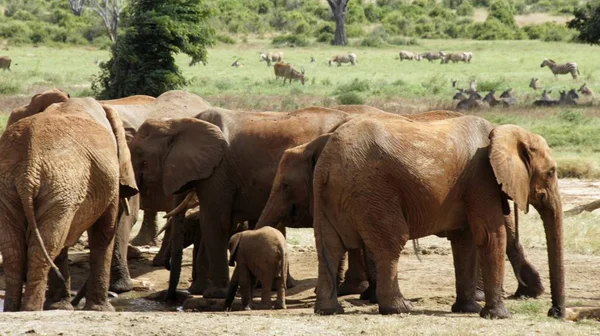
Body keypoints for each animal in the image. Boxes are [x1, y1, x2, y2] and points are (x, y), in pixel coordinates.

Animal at [0, 97, 137, 312]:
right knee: (45, 246)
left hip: (18, 186)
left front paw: (60, 308)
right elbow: (104, 232)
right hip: (60, 185)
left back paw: (14, 311)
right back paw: (31, 310)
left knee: (15, 250)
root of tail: (27, 170)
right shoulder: (110, 177)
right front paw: (102, 310)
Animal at [127, 105, 360, 300]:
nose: (170, 296)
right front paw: (200, 291)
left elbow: (215, 222)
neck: (179, 123)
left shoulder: (219, 170)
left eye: (140, 157)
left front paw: (213, 294)